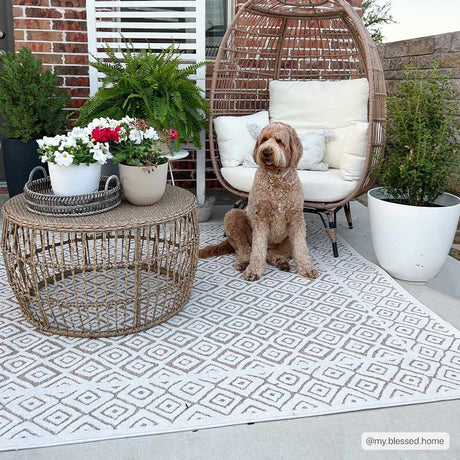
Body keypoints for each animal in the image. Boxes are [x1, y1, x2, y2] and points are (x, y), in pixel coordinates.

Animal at [200, 122, 318, 282]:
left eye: (279, 141)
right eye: (264, 139)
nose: (266, 152)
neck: (276, 177)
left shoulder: (296, 218)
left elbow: (301, 248)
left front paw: (307, 268)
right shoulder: (261, 217)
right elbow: (258, 249)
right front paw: (253, 270)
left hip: (292, 236)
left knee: (271, 253)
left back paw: (280, 261)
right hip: (233, 216)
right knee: (244, 248)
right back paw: (244, 262)